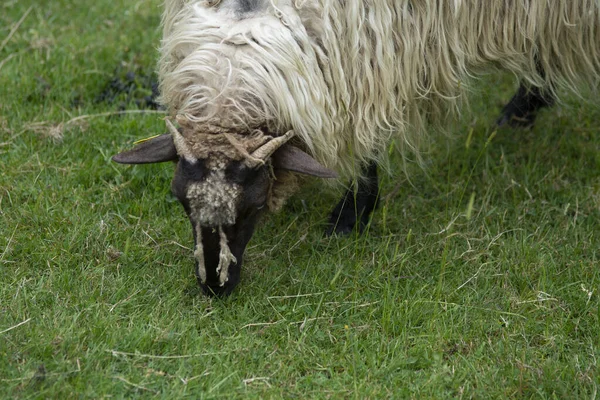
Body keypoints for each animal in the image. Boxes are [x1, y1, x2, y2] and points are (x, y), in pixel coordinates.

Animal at [112, 0, 600, 294]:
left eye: (252, 207)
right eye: (180, 202)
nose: (215, 287)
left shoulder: (374, 56)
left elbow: (368, 143)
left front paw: (351, 216)